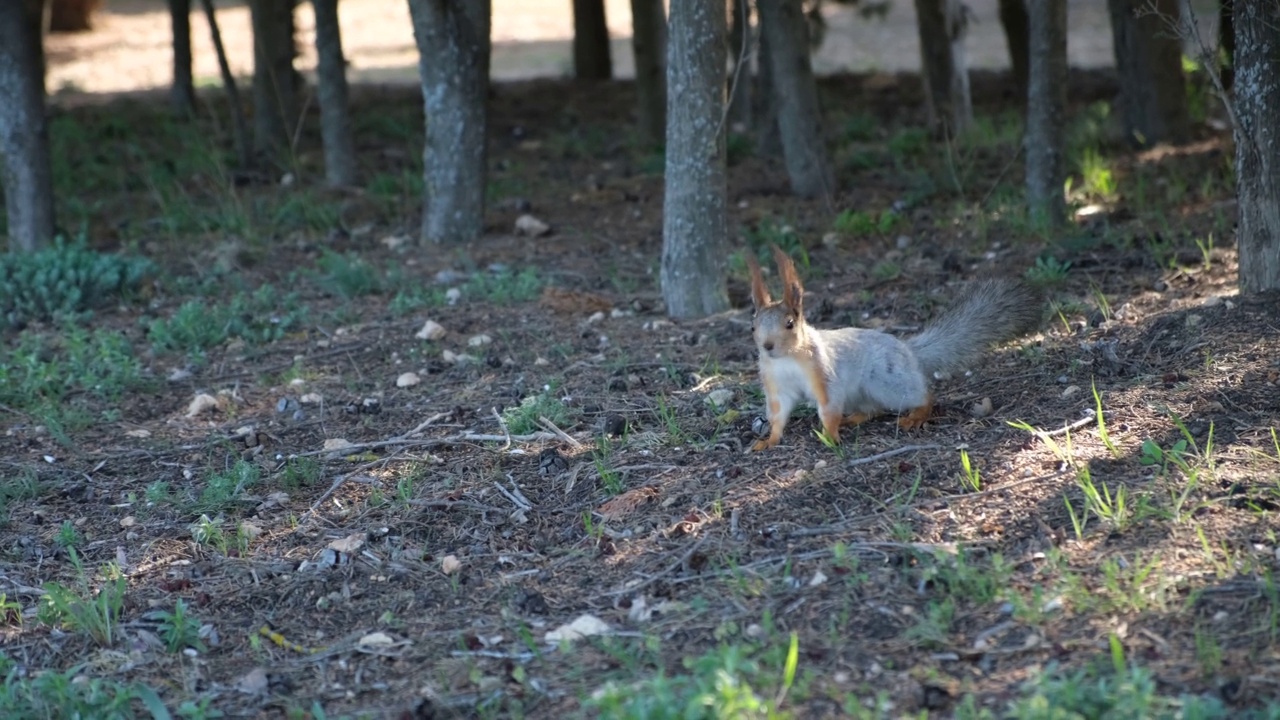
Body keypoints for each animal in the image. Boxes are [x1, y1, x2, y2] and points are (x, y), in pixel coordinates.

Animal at [747, 243, 1044, 450]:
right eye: (753, 326)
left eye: (789, 324)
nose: (768, 346)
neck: (787, 359)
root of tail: (908, 351)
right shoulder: (776, 386)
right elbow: (778, 416)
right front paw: (769, 440)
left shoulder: (824, 375)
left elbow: (828, 408)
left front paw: (830, 435)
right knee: (873, 409)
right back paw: (853, 418)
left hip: (887, 381)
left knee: (923, 397)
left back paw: (916, 415)